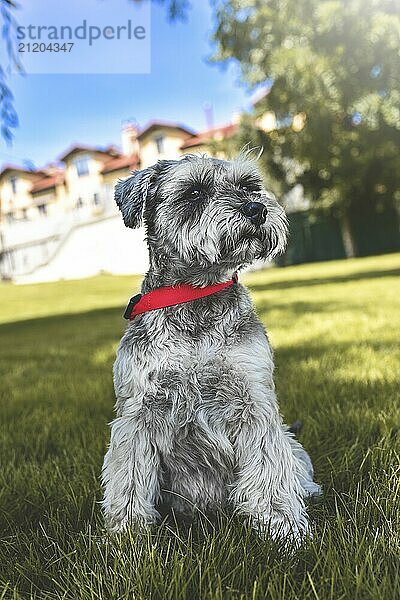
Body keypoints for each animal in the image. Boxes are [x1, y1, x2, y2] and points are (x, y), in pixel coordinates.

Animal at [101, 152, 322, 540]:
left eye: (249, 186)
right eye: (194, 192)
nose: (256, 209)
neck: (197, 295)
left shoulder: (254, 401)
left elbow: (270, 469)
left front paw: (283, 528)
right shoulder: (137, 411)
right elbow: (128, 475)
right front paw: (128, 534)